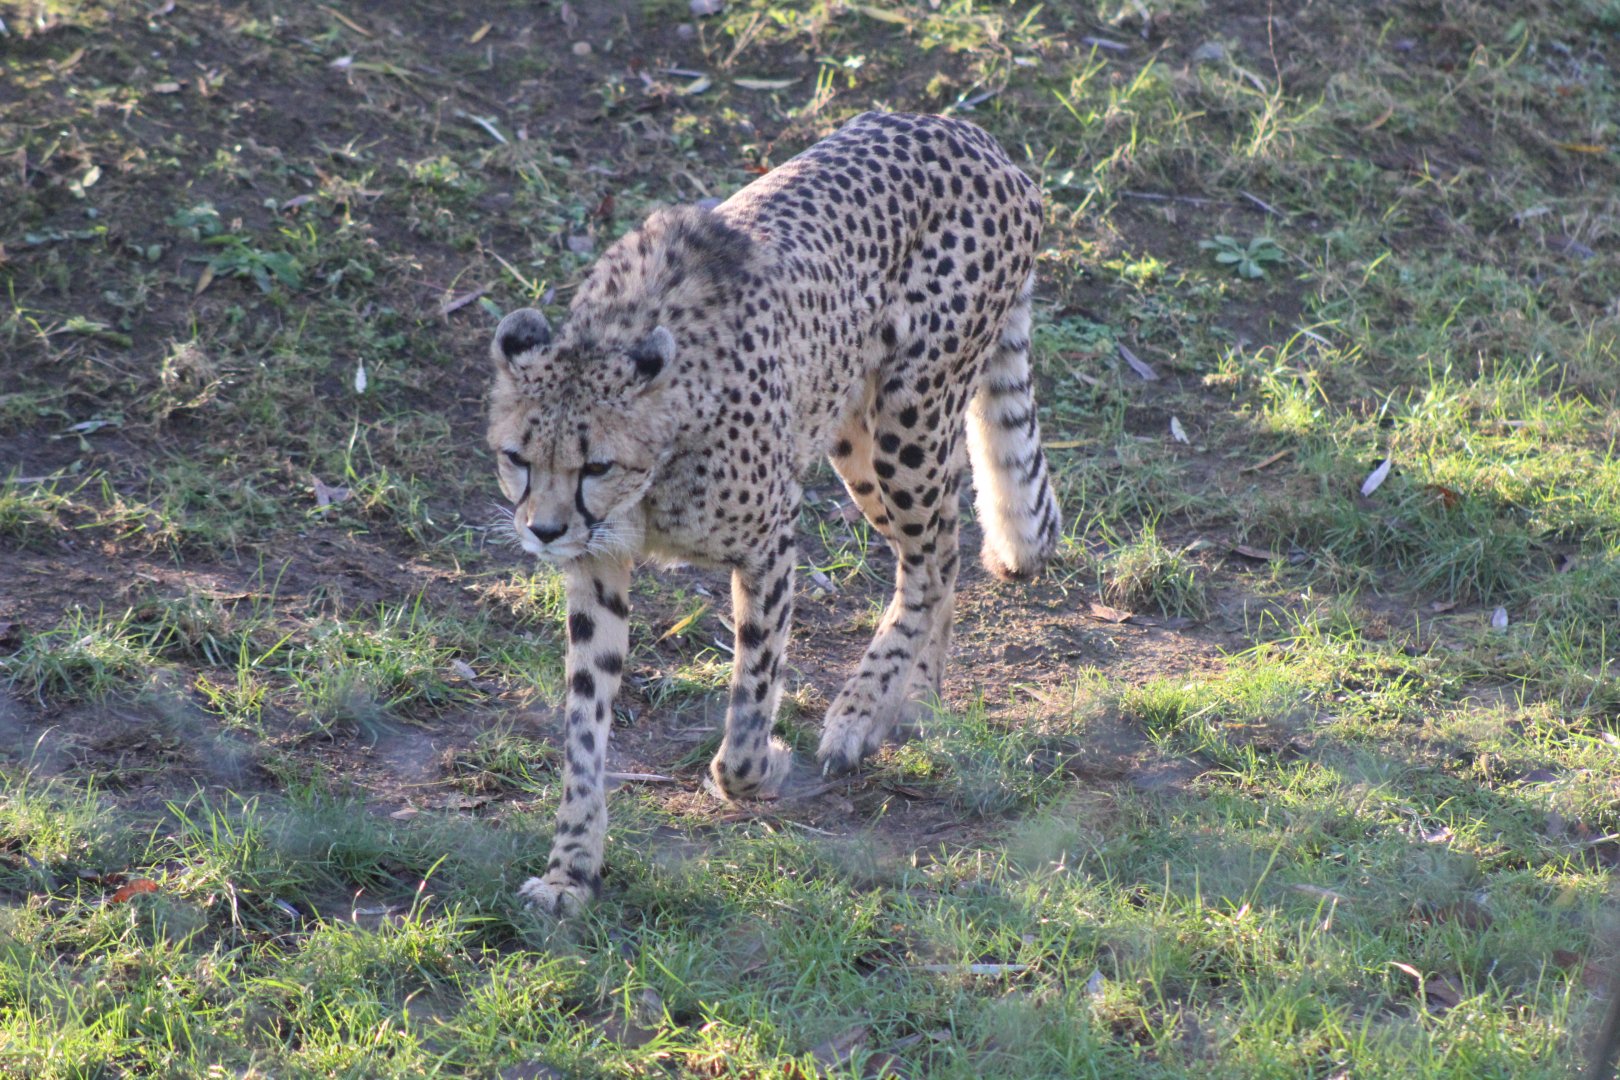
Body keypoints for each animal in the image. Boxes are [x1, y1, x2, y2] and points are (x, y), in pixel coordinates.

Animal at [485, 111, 1062, 914]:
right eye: (518, 457)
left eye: (595, 464)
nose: (543, 531)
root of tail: (968, 132)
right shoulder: (597, 568)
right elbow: (585, 721)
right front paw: (572, 866)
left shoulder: (769, 541)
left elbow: (753, 692)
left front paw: (760, 769)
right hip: (854, 431)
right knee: (940, 547)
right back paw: (917, 697)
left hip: (909, 419)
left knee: (932, 556)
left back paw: (862, 710)